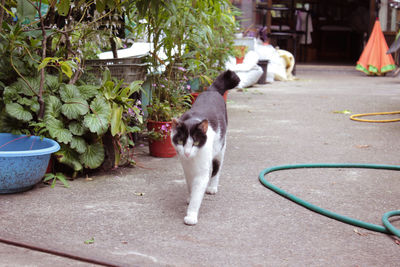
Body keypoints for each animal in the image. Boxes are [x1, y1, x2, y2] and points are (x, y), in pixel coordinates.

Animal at [170, 71, 239, 226]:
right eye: (181, 141)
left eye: (195, 142)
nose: (187, 153)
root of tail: (211, 90)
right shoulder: (187, 169)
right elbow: (190, 185)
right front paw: (189, 197)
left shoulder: (202, 172)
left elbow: (197, 192)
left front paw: (191, 215)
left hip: (220, 148)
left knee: (217, 169)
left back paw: (212, 187)